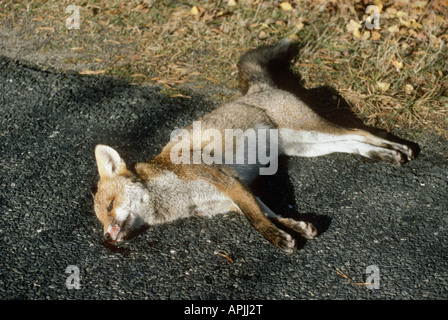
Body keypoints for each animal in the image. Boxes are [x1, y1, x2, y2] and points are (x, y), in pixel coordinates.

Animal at [93, 37, 414, 252]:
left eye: (110, 205)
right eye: (100, 219)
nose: (106, 238)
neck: (177, 199)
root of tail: (257, 91)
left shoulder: (226, 180)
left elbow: (256, 220)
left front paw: (278, 240)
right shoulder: (231, 197)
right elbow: (270, 213)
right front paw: (296, 227)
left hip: (312, 130)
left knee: (360, 132)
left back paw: (399, 148)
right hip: (306, 146)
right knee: (353, 144)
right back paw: (385, 155)